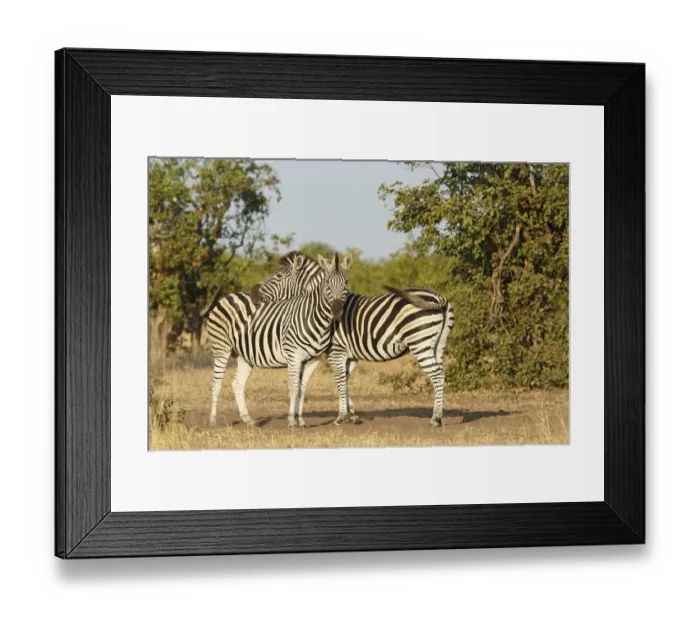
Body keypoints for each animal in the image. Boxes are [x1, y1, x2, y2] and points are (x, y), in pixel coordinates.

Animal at [205, 251, 352, 428]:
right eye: (328, 283)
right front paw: (291, 421)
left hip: (244, 354)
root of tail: (228, 296)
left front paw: (300, 420)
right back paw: (213, 420)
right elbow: (294, 387)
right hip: (221, 347)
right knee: (216, 383)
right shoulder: (294, 356)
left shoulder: (312, 360)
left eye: (346, 283)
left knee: (238, 384)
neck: (312, 316)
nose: (337, 311)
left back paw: (248, 419)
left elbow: (302, 388)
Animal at [252, 252, 455, 427]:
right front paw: (352, 415)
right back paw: (439, 416)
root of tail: (439, 296)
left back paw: (435, 419)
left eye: (278, 276)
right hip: (438, 344)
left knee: (437, 375)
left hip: (420, 343)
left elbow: (340, 381)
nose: (253, 292)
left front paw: (341, 417)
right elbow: (345, 380)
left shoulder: (336, 351)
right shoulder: (350, 355)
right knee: (442, 373)